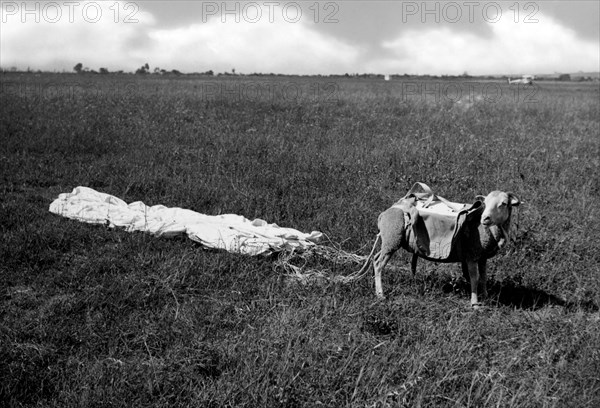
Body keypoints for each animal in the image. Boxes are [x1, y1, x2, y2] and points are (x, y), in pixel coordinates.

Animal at [356, 191, 520, 310]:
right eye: (485, 204)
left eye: (504, 204)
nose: (485, 218)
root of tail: (387, 211)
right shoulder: (471, 255)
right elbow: (475, 278)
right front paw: (475, 303)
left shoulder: (482, 256)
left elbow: (484, 277)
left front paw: (485, 296)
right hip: (392, 238)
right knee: (379, 264)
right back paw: (380, 294)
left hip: (388, 241)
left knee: (375, 258)